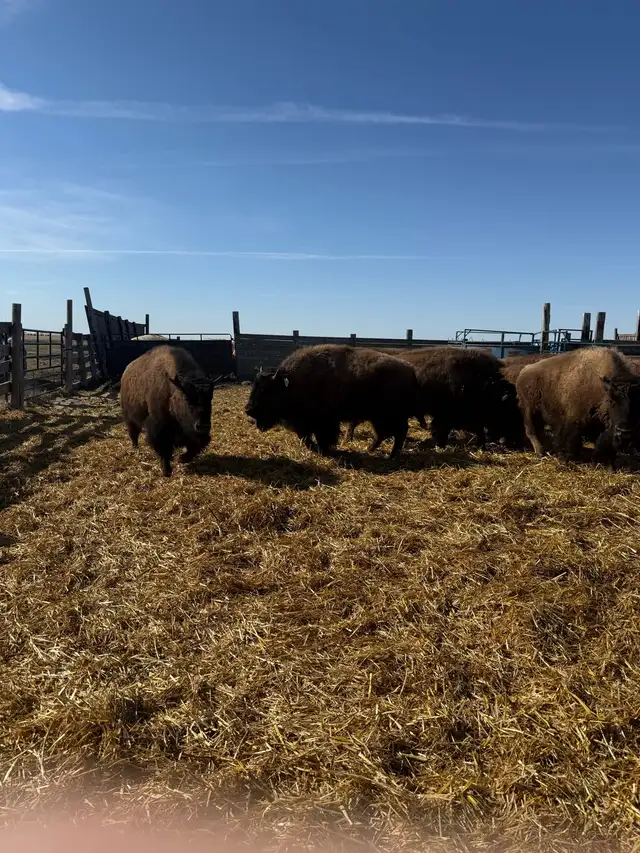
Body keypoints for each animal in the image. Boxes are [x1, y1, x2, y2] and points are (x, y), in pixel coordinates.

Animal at [120, 346, 217, 476]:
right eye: (186, 399)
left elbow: (196, 445)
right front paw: (167, 471)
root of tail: (125, 373)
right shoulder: (160, 428)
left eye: (210, 397)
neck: (173, 390)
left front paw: (182, 459)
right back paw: (135, 449)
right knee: (133, 434)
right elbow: (164, 449)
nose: (203, 426)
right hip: (130, 419)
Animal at [245, 344, 423, 458]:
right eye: (254, 386)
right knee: (384, 433)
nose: (248, 409)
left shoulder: (322, 423)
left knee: (398, 432)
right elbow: (305, 437)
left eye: (264, 389)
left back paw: (391, 456)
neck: (289, 383)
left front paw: (324, 450)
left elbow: (318, 437)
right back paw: (371, 450)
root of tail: (410, 369)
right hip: (377, 417)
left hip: (389, 416)